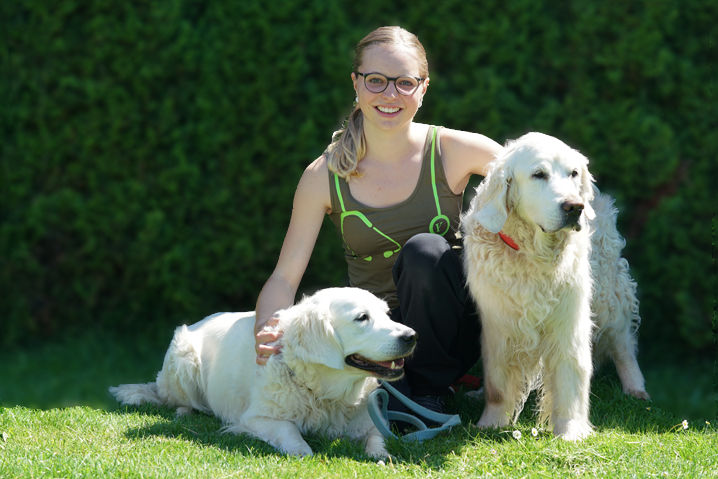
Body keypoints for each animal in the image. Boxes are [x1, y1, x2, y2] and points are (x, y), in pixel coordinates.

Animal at [109, 286, 420, 460]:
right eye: (362, 318)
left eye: (387, 313)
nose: (411, 336)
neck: (323, 391)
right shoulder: (255, 418)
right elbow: (288, 428)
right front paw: (301, 449)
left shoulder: (370, 420)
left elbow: (377, 437)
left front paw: (381, 454)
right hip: (183, 354)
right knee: (174, 399)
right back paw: (185, 411)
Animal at [462, 132, 652, 442]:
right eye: (538, 174)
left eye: (572, 173)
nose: (575, 207)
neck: (533, 256)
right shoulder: (498, 324)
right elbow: (497, 381)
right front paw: (491, 422)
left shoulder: (568, 320)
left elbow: (569, 375)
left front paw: (570, 430)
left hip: (608, 295)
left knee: (623, 342)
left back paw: (635, 386)